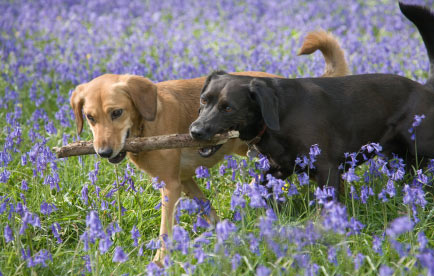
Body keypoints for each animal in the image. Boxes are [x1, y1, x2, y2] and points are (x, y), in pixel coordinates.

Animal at [71, 29, 350, 264]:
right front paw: (226, 233)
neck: (146, 125)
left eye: (117, 112)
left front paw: (160, 263)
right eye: (90, 117)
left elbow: (165, 230)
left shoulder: (170, 185)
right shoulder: (184, 180)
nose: (103, 152)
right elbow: (208, 211)